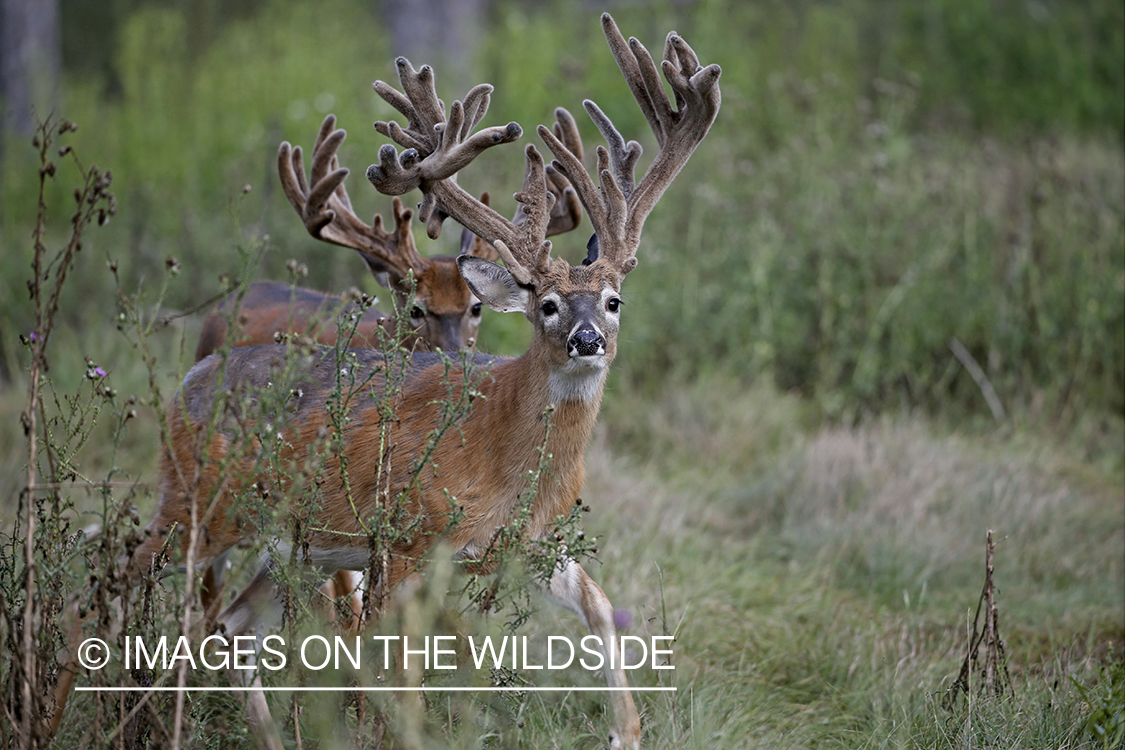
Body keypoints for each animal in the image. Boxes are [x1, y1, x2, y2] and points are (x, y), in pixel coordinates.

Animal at [50, 14, 720, 746]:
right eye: (545, 304)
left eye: (612, 300)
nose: (587, 340)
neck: (503, 452)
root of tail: (189, 381)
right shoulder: (403, 542)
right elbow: (403, 679)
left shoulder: (530, 544)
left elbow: (599, 609)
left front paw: (625, 729)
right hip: (196, 506)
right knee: (98, 597)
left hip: (290, 544)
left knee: (230, 626)